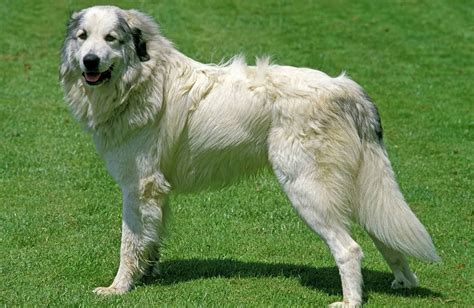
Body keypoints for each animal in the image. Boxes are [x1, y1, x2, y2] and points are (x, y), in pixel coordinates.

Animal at [60, 6, 440, 306]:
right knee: (384, 233)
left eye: (111, 38)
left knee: (349, 249)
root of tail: (345, 88)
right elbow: (150, 240)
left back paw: (350, 302)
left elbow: (129, 243)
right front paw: (146, 275)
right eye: (83, 37)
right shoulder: (155, 192)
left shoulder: (138, 187)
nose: (89, 60)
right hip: (359, 188)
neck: (142, 80)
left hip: (307, 189)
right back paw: (403, 281)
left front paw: (119, 288)